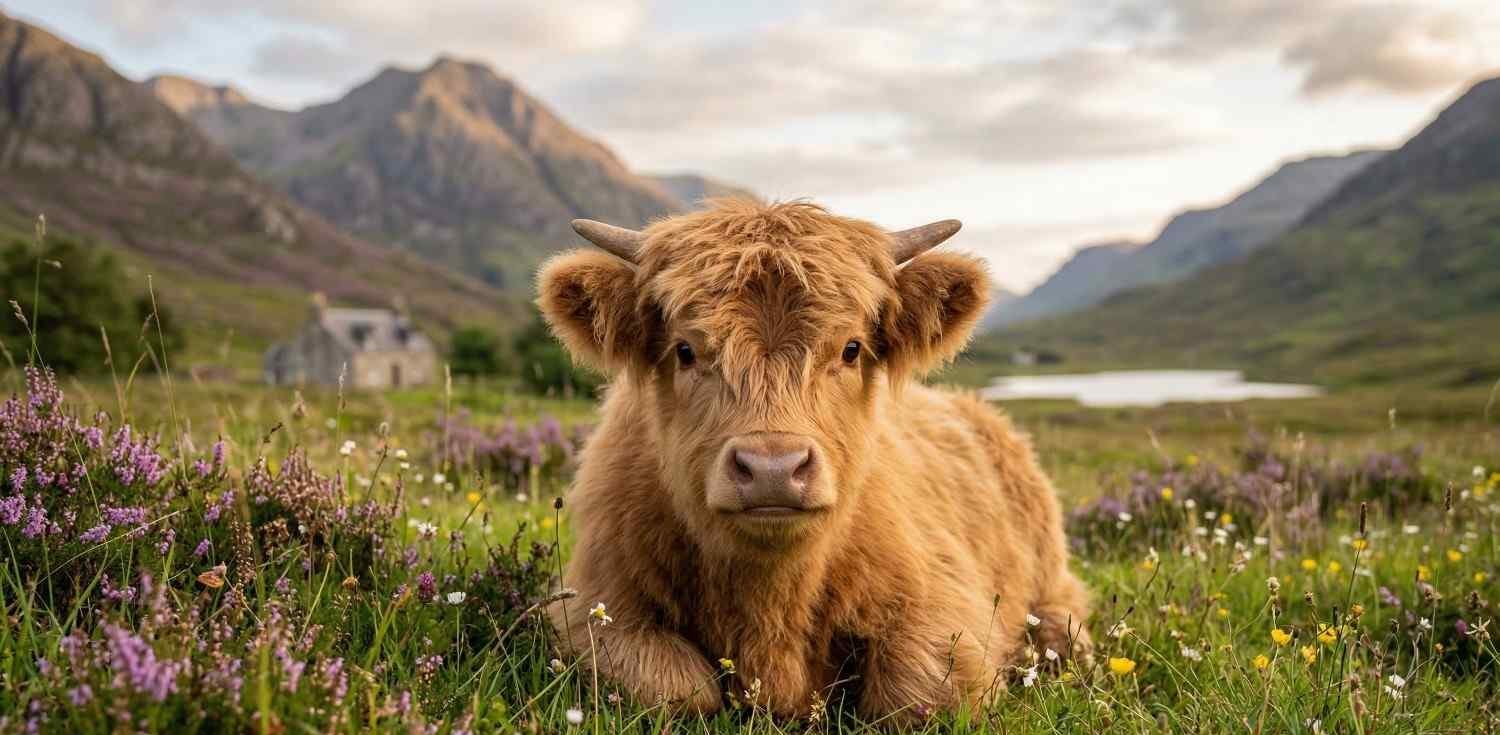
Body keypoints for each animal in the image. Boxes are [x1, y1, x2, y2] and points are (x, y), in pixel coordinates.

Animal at [538, 199, 1091, 721]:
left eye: (851, 348)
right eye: (685, 350)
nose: (772, 470)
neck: (771, 603)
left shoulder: (946, 606)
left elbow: (917, 693)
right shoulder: (594, 607)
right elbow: (677, 689)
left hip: (1048, 573)